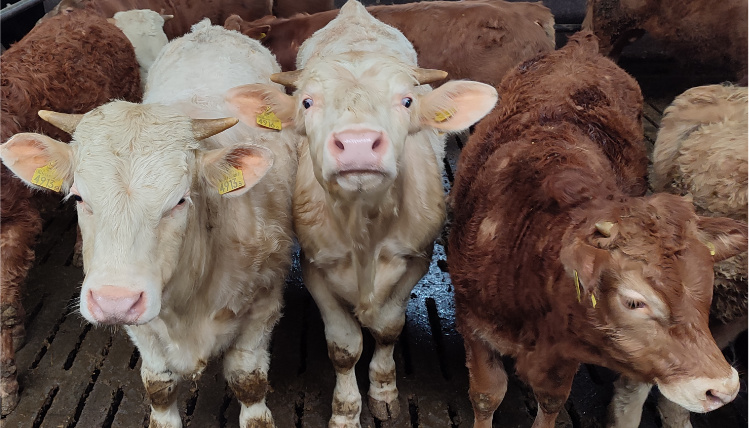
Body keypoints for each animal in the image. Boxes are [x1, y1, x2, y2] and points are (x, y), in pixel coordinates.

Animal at [225, 1, 500, 426]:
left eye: (407, 101)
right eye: (307, 102)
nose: (357, 144)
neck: (364, 228)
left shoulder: (416, 259)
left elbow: (388, 328)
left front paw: (383, 389)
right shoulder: (315, 266)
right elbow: (344, 347)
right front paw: (345, 410)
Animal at [448, 32, 744, 428]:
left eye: (708, 286)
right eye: (634, 301)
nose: (723, 388)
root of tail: (581, 47)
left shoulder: (566, 350)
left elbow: (552, 399)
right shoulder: (473, 324)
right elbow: (486, 395)